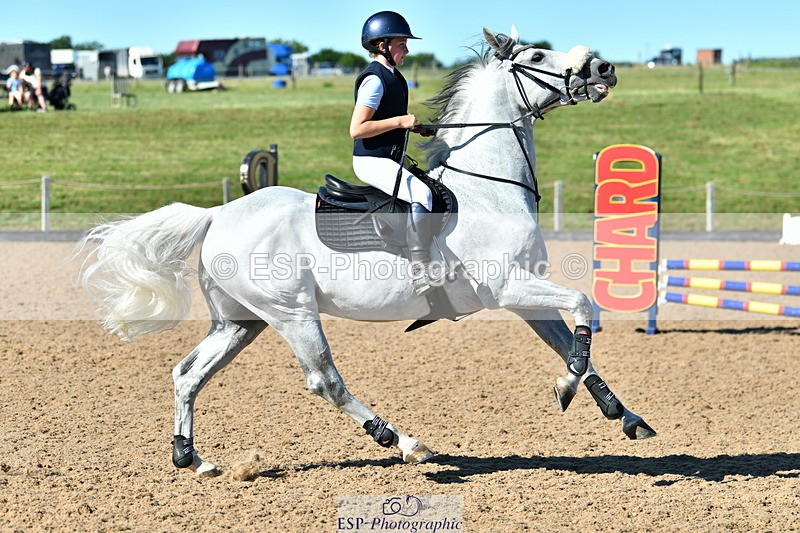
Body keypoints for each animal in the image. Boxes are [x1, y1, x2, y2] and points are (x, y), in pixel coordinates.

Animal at [78, 27, 655, 477]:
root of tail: (218, 215)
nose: (603, 67)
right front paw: (565, 387)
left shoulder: (525, 298)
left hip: (242, 321)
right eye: (536, 56)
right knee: (325, 381)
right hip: (292, 313)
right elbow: (583, 305)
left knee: (188, 373)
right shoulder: (508, 288)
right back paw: (405, 443)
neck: (489, 188)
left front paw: (623, 414)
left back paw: (192, 458)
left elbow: (572, 340)